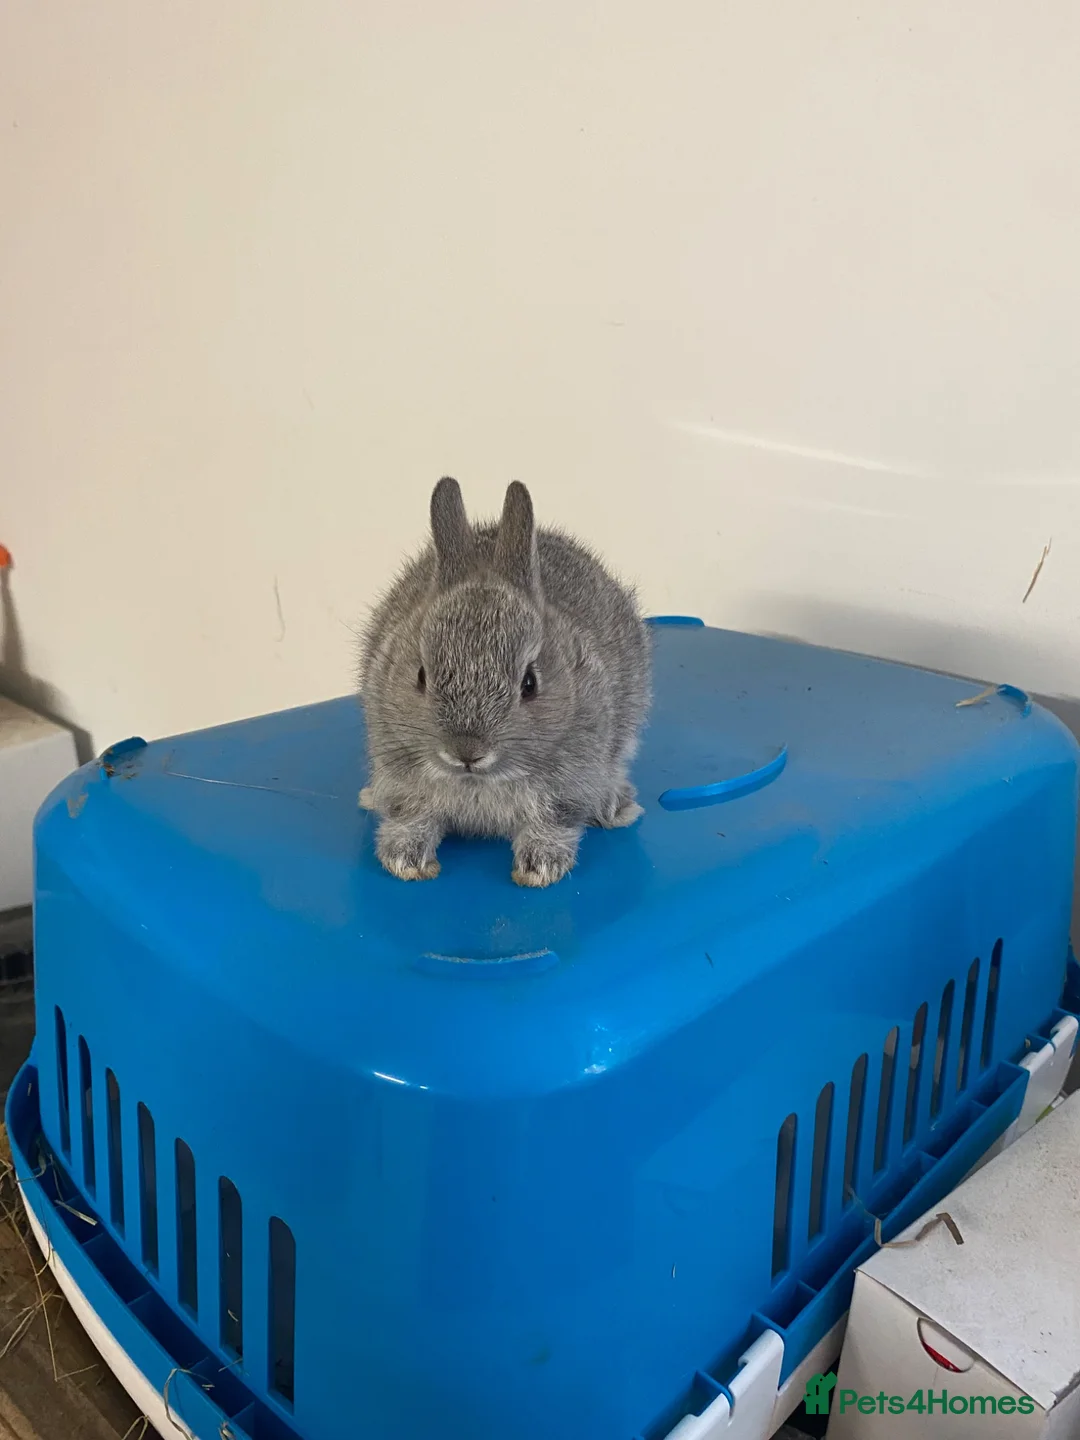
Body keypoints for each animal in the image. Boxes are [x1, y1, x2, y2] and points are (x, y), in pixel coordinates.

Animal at [357, 477, 650, 887]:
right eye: (421, 675)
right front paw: (405, 860)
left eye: (530, 683)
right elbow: (412, 815)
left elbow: (553, 821)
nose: (467, 752)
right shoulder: (400, 773)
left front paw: (540, 867)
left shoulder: (571, 782)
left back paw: (614, 807)